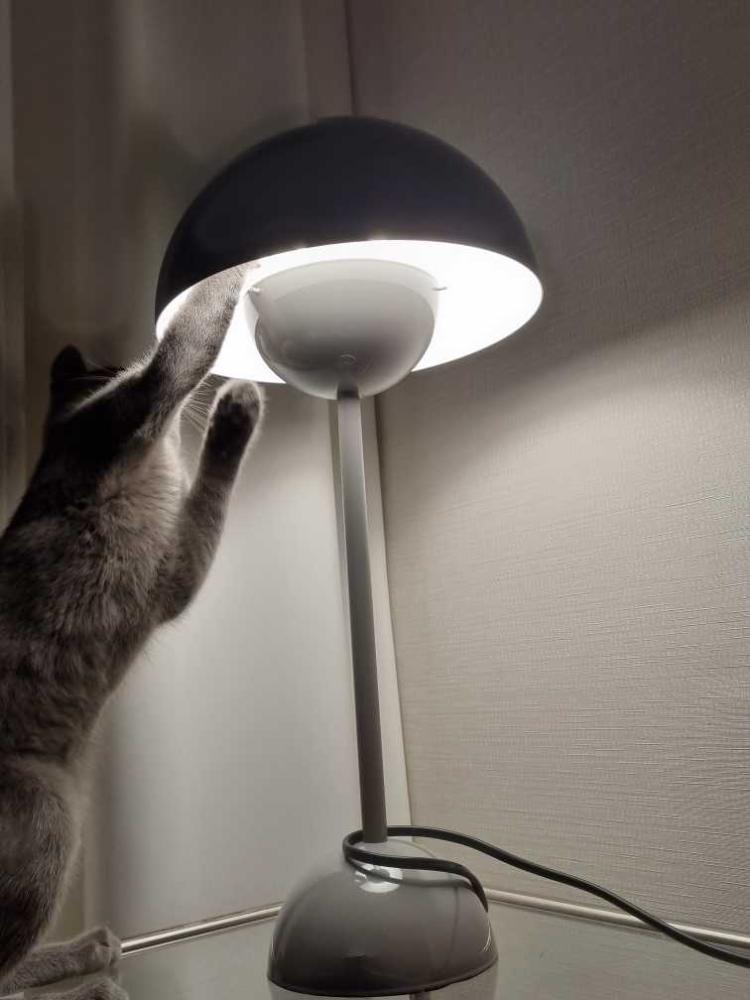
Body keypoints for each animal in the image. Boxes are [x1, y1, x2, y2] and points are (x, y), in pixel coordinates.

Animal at [0, 265, 262, 999]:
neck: (63, 431)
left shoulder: (171, 576)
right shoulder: (145, 403)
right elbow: (194, 329)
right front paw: (236, 400)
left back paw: (86, 951)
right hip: (49, 808)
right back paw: (92, 982)